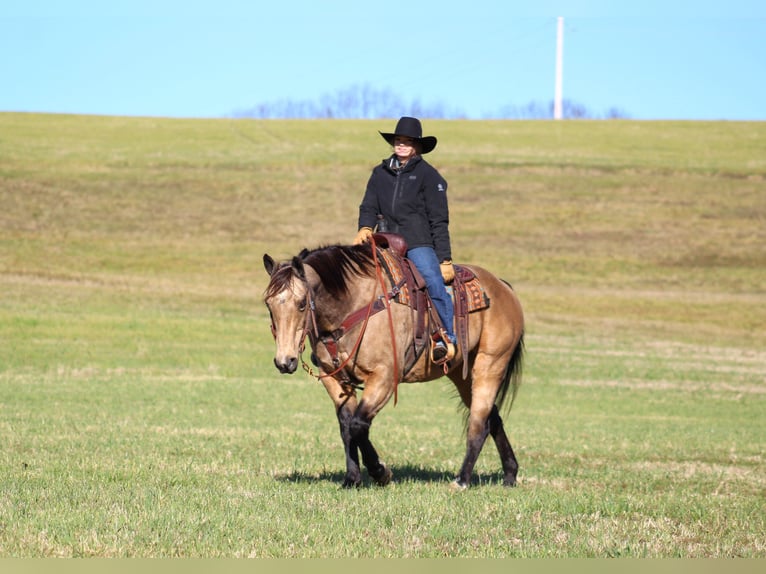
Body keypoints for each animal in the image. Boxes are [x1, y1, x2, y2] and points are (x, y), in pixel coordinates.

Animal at [260, 234, 524, 490]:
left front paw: (380, 472)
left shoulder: (384, 378)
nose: (285, 361)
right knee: (492, 418)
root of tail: (503, 287)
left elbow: (357, 425)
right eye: (268, 304)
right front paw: (352, 479)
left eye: (302, 303)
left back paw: (462, 480)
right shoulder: (334, 379)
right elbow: (346, 426)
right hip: (461, 375)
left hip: (490, 366)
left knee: (479, 423)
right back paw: (510, 475)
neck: (353, 306)